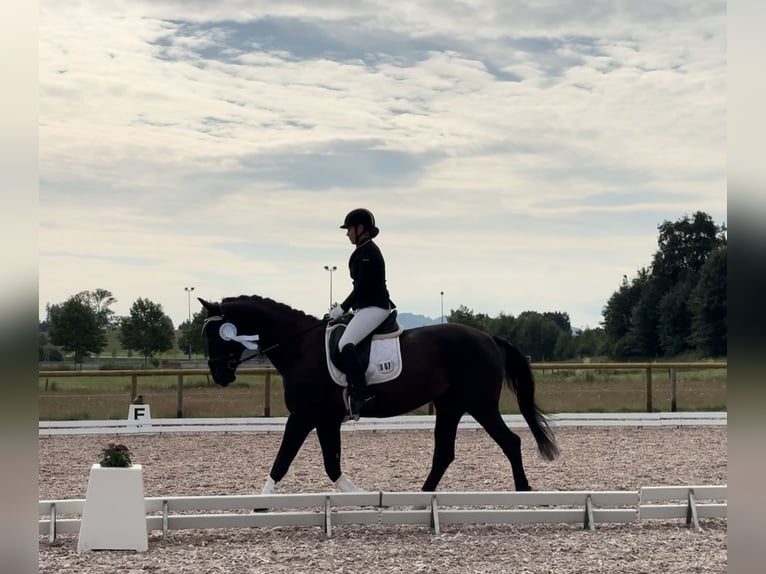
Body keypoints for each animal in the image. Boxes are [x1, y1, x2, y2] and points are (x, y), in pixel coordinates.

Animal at [199, 295, 559, 494]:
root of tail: (488, 338)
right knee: (445, 453)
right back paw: (420, 501)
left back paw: (523, 492)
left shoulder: (303, 415)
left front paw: (260, 502)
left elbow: (283, 460)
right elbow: (331, 464)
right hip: (451, 406)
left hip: (479, 404)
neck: (300, 347)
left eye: (217, 335)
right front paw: (359, 495)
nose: (219, 375)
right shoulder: (326, 419)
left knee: (510, 442)